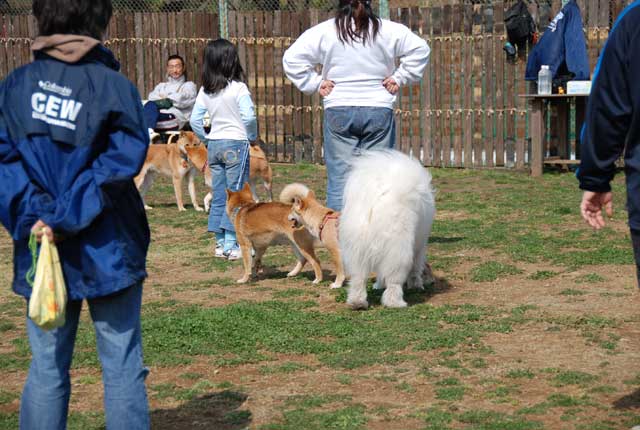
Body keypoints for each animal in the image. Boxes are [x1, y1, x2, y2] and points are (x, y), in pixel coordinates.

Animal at [340, 149, 436, 310]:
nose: (432, 281)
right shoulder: (419, 248)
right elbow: (416, 269)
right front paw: (417, 285)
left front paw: (378, 285)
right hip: (399, 251)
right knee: (394, 281)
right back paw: (396, 303)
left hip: (356, 252)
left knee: (358, 279)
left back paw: (357, 302)